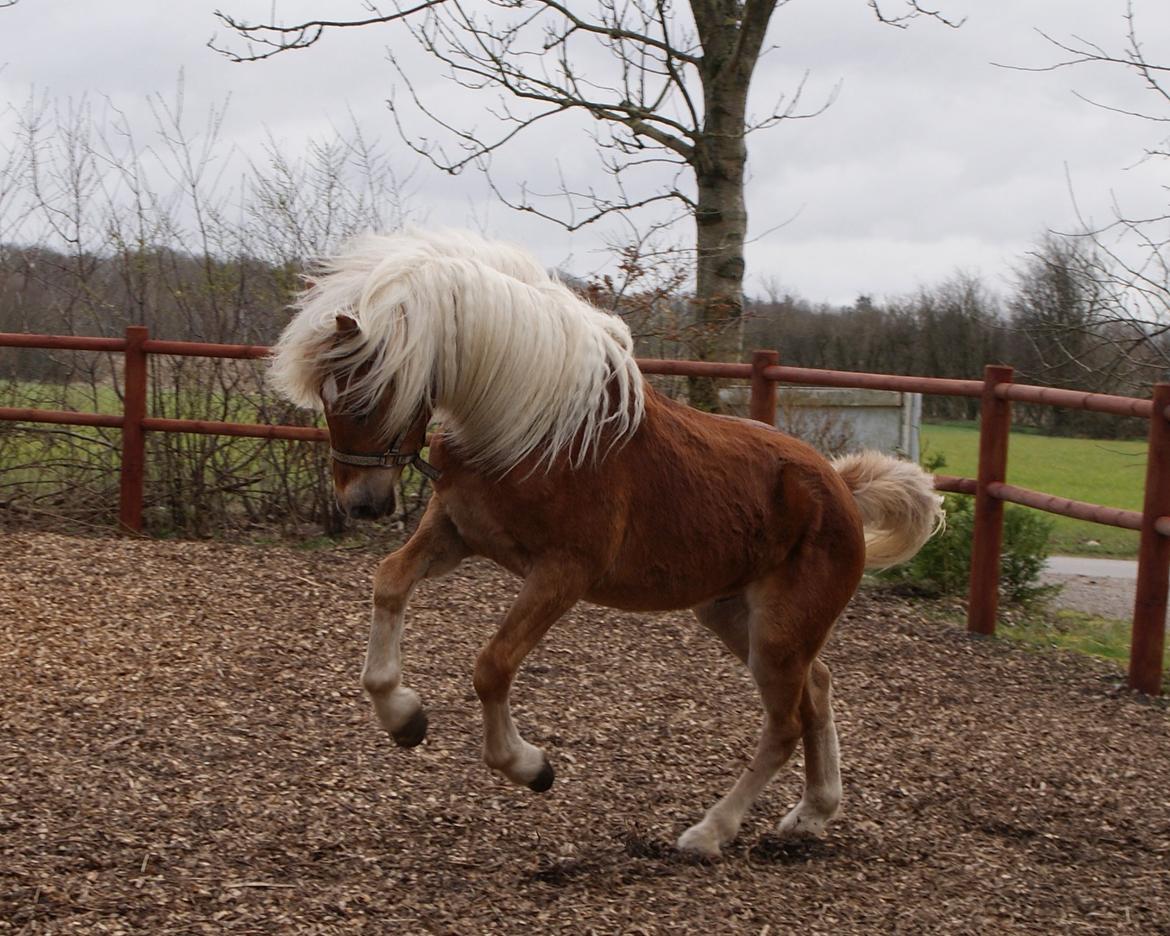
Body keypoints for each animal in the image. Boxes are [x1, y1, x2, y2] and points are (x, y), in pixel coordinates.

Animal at [269, 226, 945, 856]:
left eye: (362, 393)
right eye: (326, 395)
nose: (363, 503)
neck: (531, 424)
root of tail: (841, 490)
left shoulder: (561, 574)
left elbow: (492, 666)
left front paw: (529, 767)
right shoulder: (456, 535)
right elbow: (388, 582)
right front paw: (403, 716)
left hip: (778, 633)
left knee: (782, 726)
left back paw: (710, 832)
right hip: (736, 616)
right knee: (818, 689)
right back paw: (811, 814)